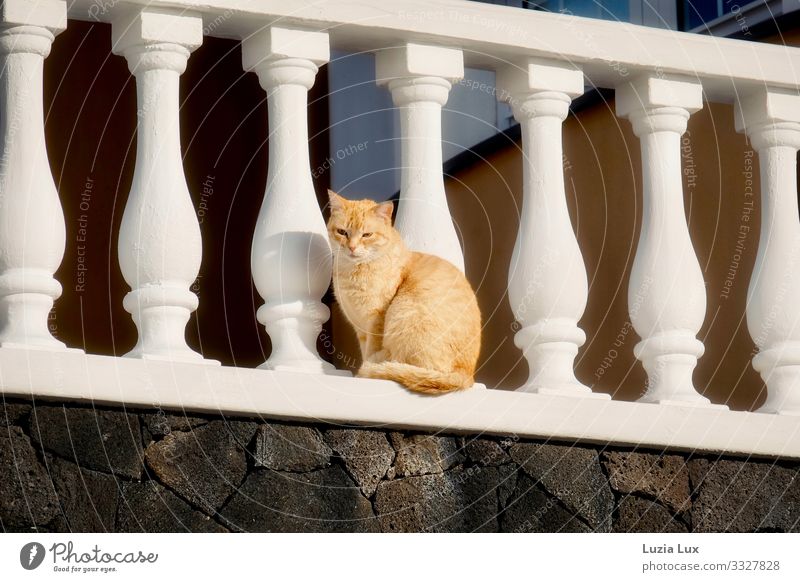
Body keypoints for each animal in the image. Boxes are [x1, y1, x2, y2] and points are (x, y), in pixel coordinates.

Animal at [326, 192, 482, 396]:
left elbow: (370, 350)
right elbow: (364, 349)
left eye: (367, 235)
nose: (351, 248)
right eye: (342, 232)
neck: (352, 272)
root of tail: (466, 376)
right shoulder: (360, 329)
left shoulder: (375, 321)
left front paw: (364, 374)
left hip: (403, 312)